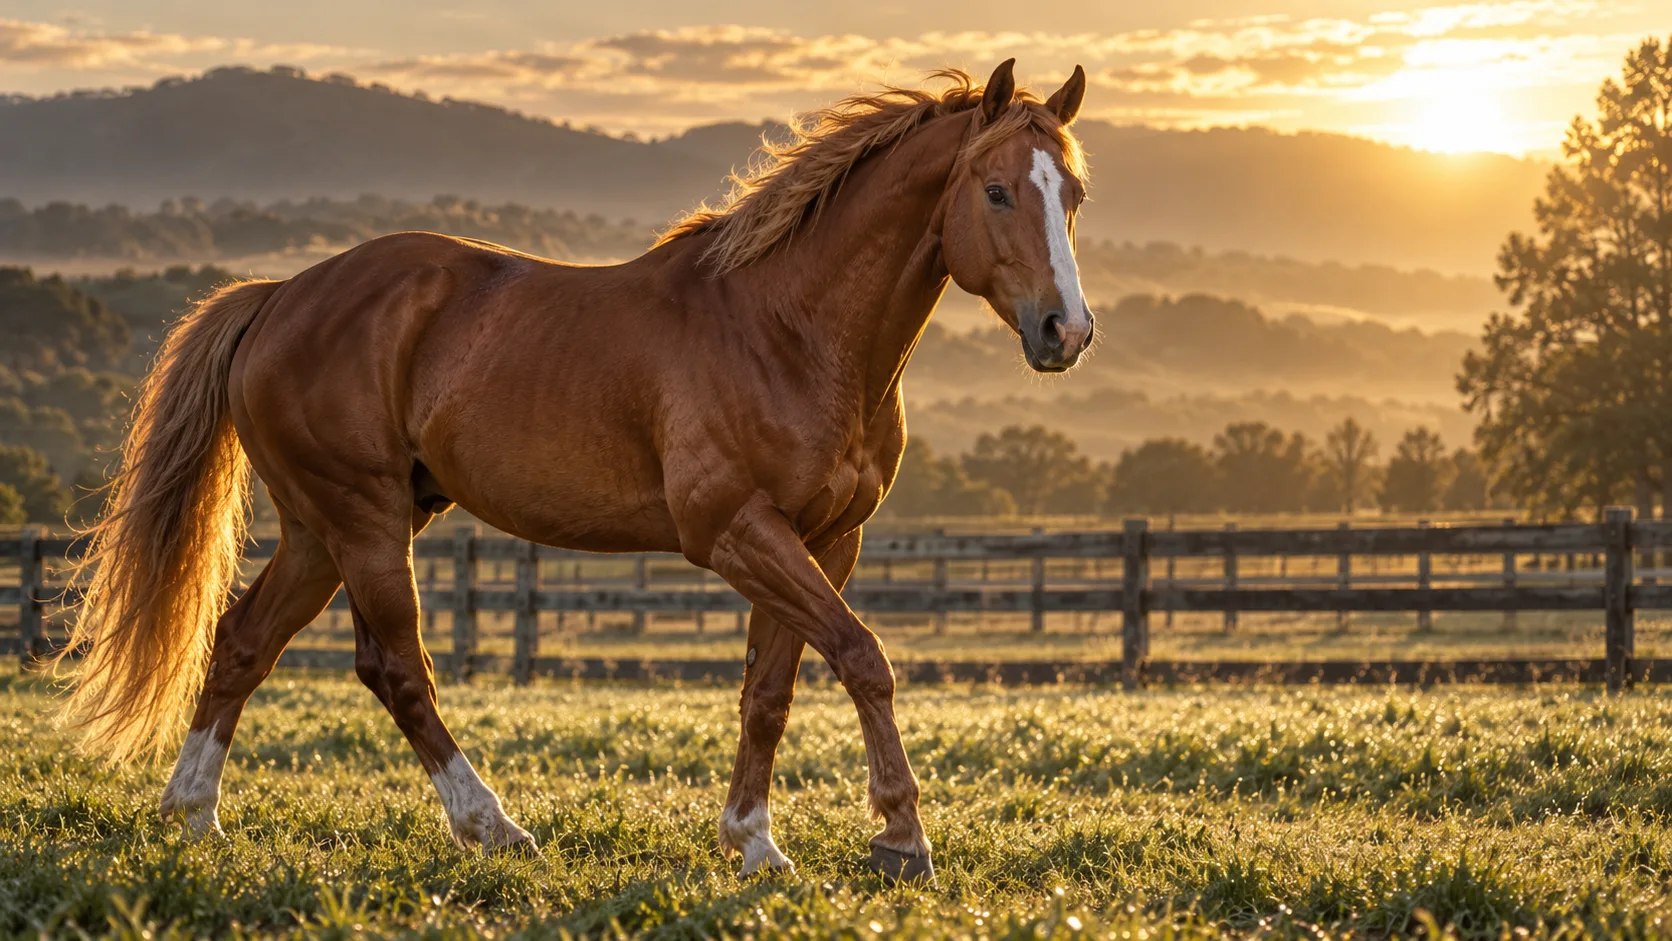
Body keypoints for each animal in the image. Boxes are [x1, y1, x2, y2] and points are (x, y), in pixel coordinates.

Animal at [56, 59, 1094, 882]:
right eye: (996, 190)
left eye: (1072, 195)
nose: (1066, 331)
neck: (789, 330)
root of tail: (277, 298)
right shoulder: (737, 531)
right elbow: (863, 657)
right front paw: (901, 837)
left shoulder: (825, 540)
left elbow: (773, 689)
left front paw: (754, 843)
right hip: (364, 523)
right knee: (398, 669)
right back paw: (494, 826)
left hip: (322, 531)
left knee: (243, 643)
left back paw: (194, 815)